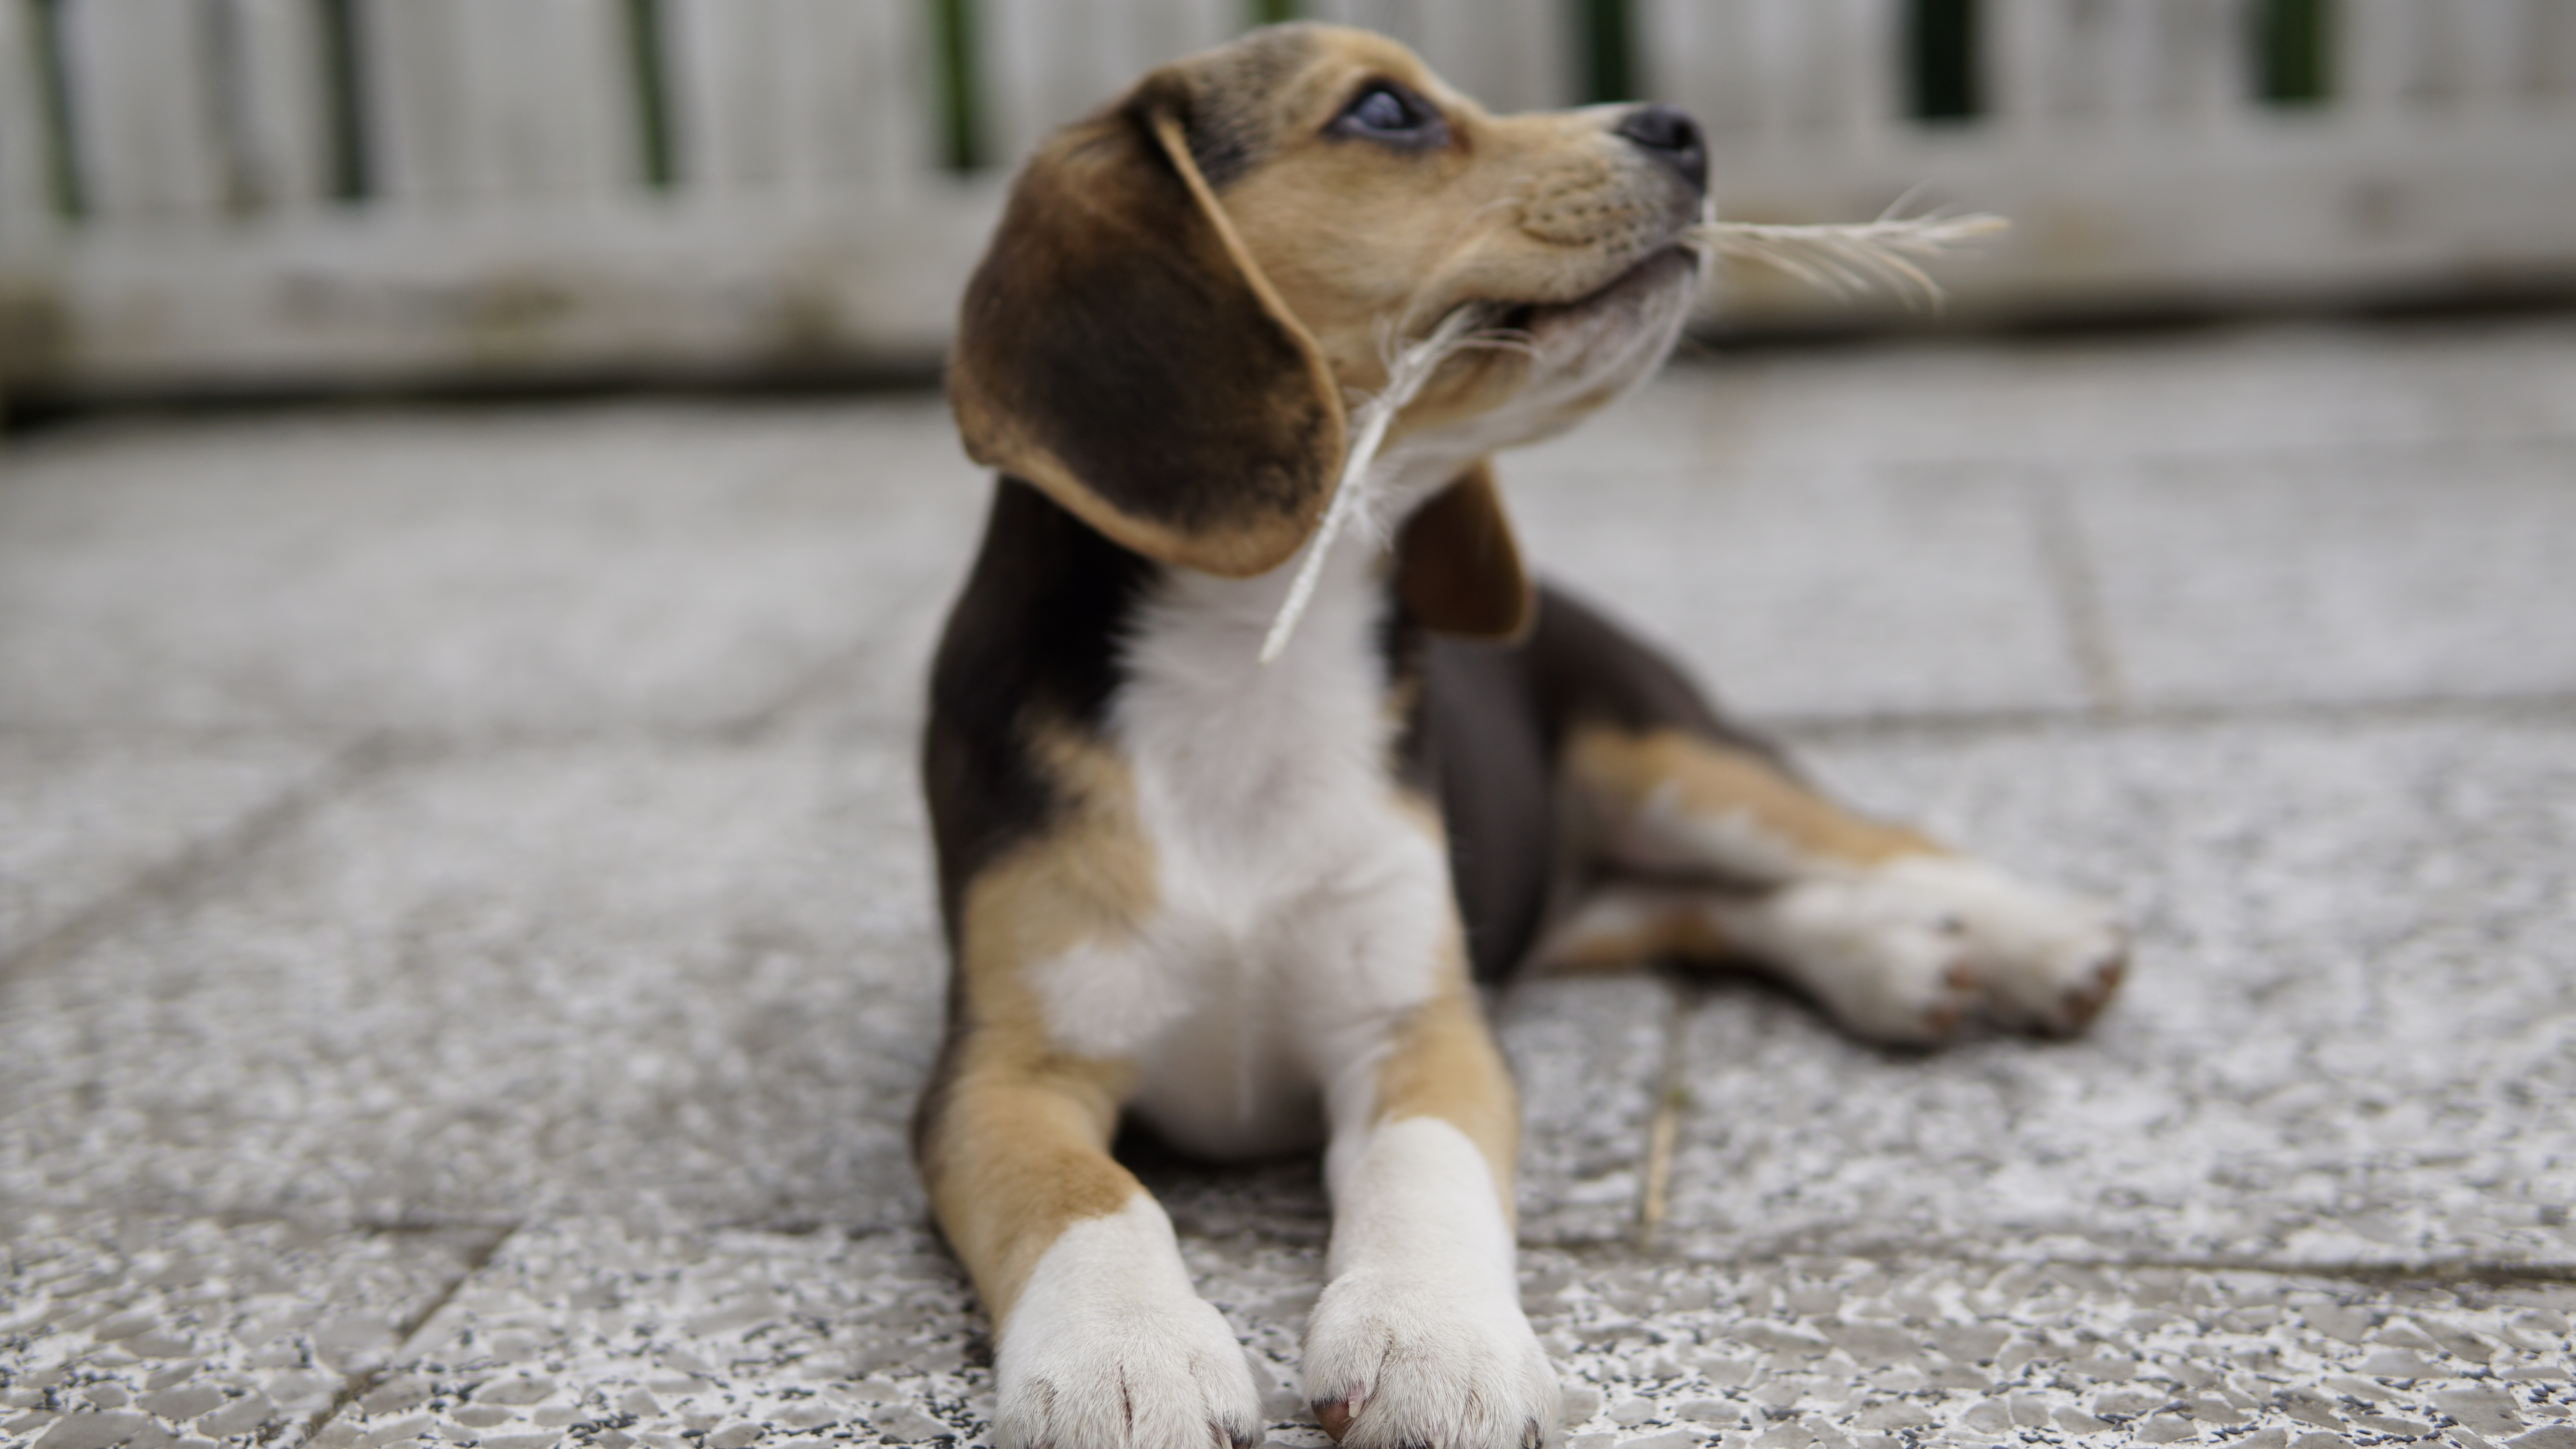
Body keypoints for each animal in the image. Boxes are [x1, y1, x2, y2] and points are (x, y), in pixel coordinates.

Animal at [915, 24, 2127, 1449]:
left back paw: (2031, 938)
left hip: (1666, 760)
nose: (1680, 128)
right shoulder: (1000, 1071)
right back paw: (1889, 957)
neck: (1251, 661)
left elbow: (1422, 1169)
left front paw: (1428, 1338)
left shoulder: (1420, 1025)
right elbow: (1080, 1196)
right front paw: (1123, 1355)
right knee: (1704, 905)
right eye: (1385, 111)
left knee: (1861, 838)